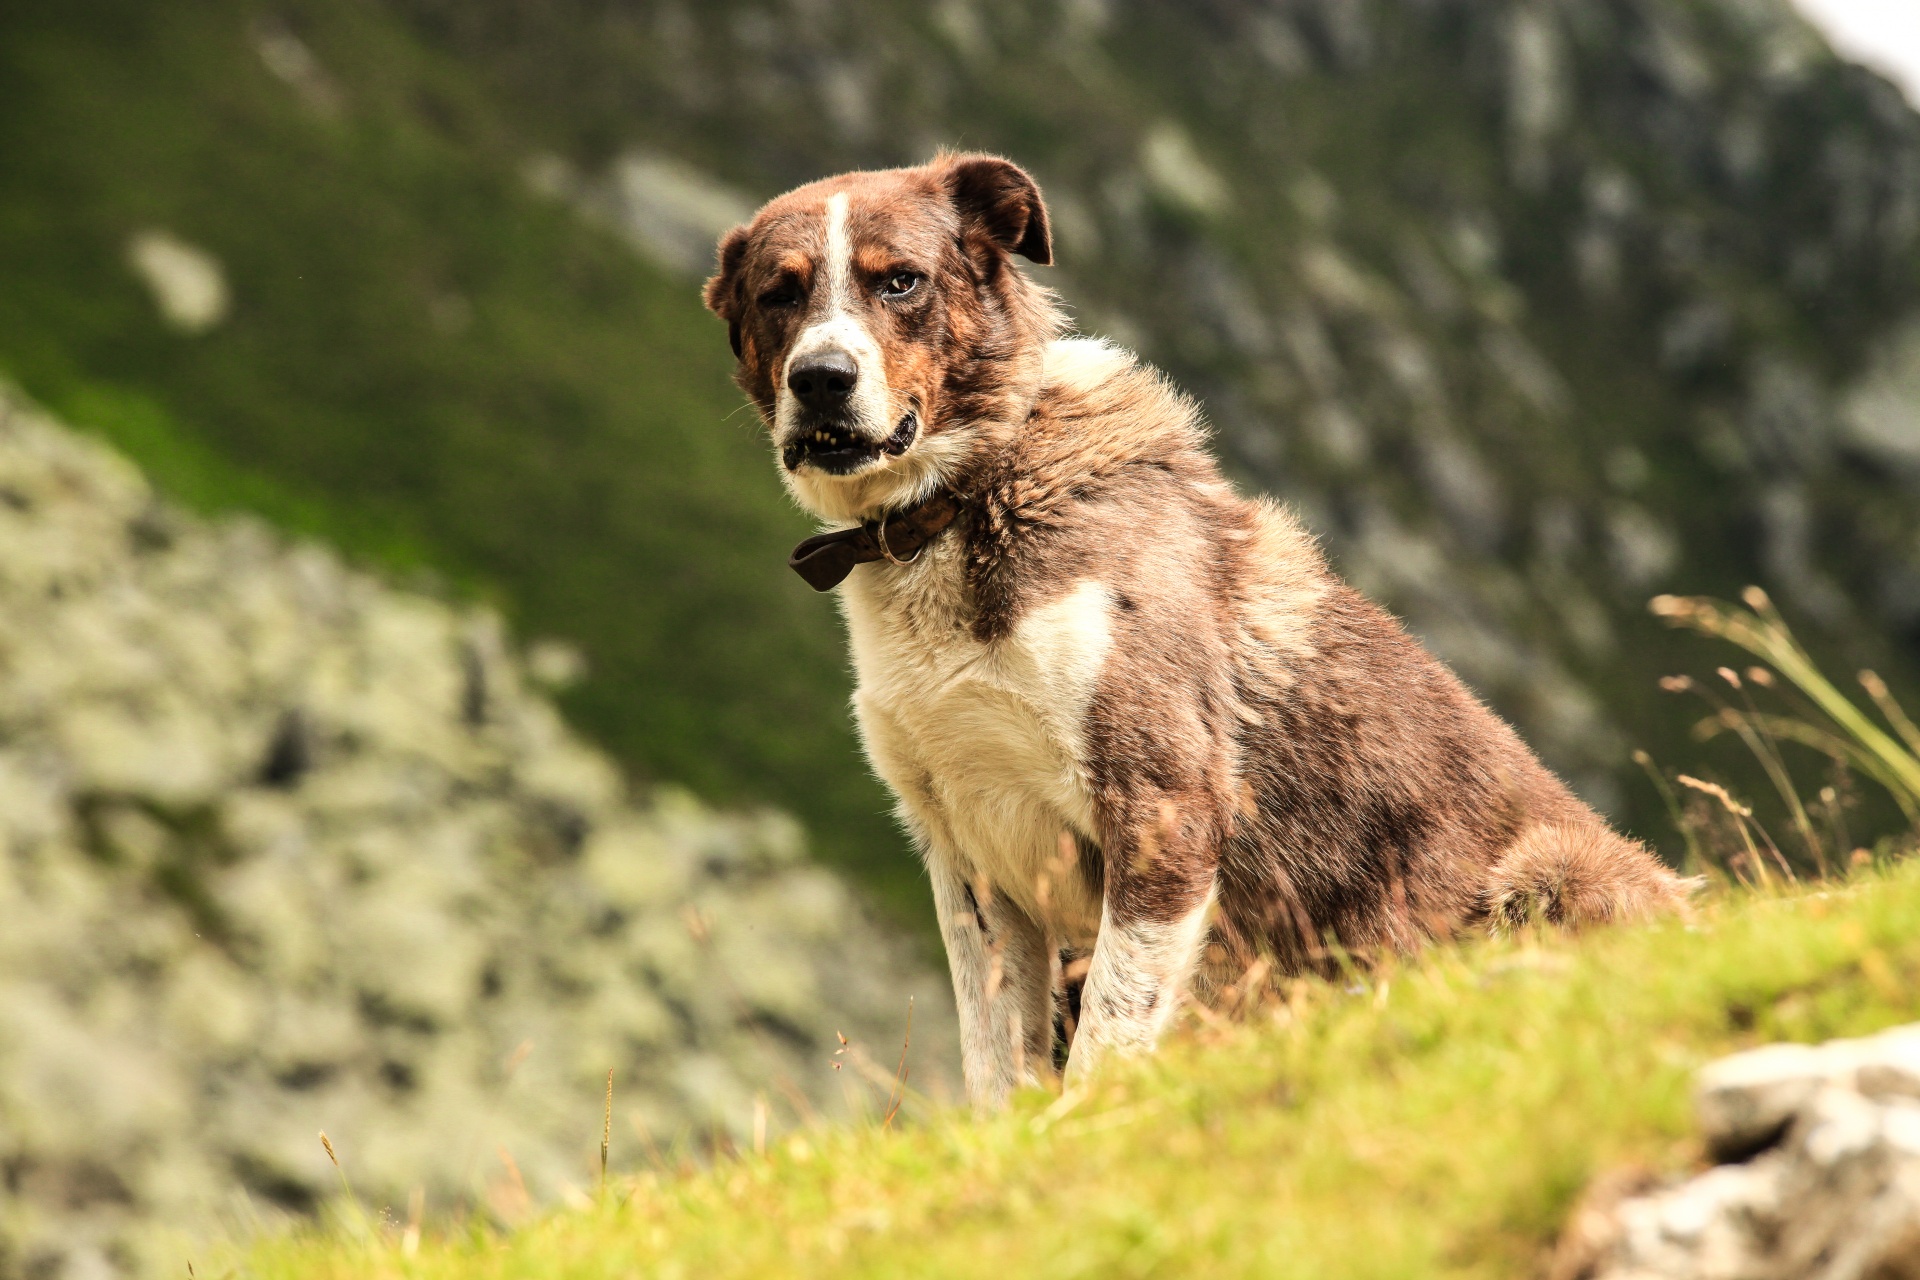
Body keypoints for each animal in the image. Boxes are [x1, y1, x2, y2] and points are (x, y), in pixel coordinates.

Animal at [706, 152, 1681, 1113]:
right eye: (779, 295)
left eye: (900, 281)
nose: (821, 379)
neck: (957, 506)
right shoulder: (968, 859)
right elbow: (996, 1062)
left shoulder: (1162, 808)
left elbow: (1106, 1038)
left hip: (1551, 869)